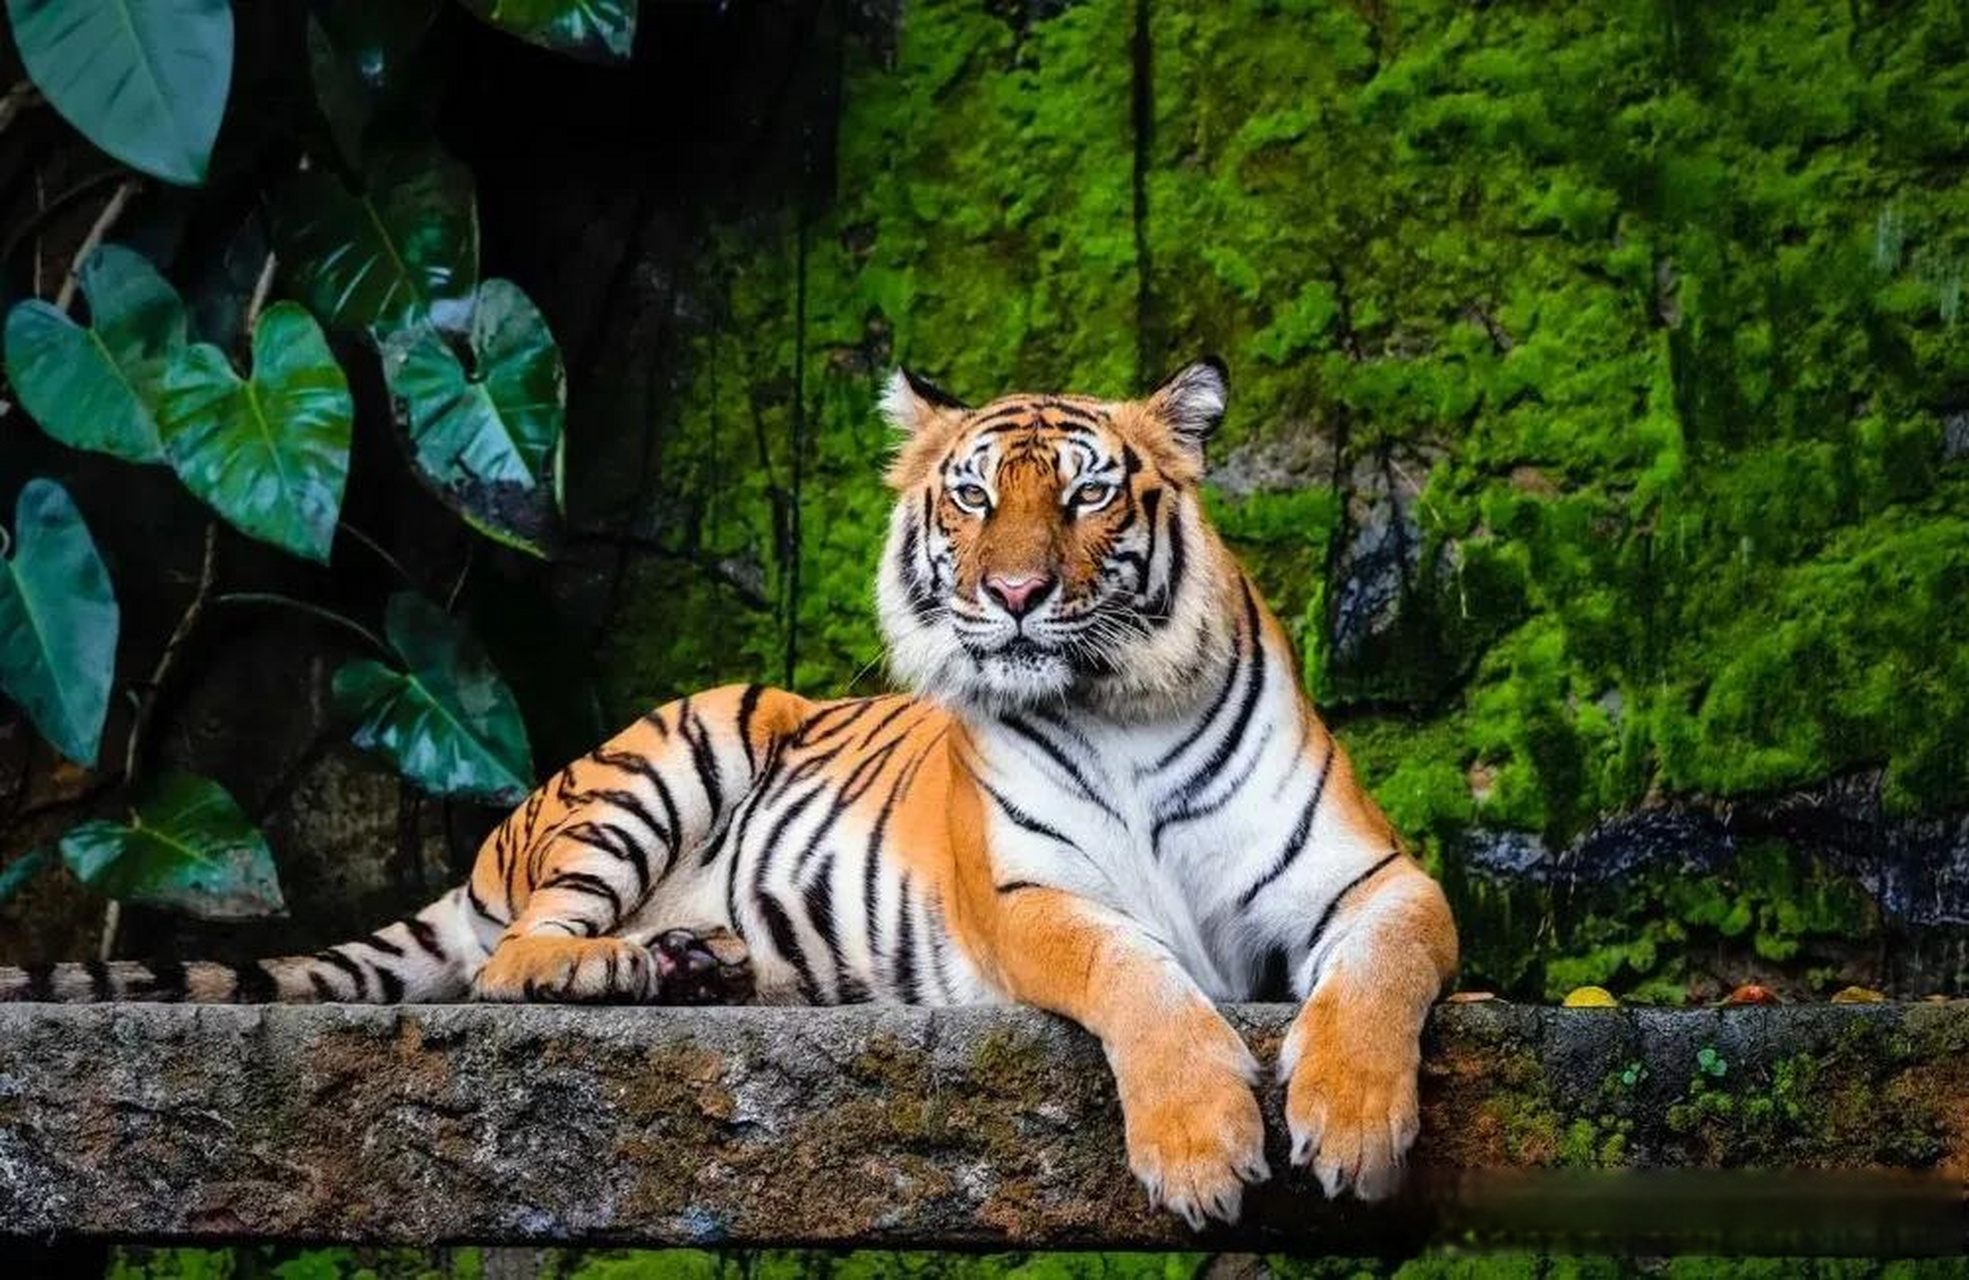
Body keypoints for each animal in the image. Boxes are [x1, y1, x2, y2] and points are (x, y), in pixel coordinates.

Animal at [1, 359, 1458, 1228]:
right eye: (971, 496)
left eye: (1093, 493)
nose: (1015, 593)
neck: (1116, 704)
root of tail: (495, 841)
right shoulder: (1028, 896)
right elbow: (1136, 973)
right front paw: (1205, 1147)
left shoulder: (1373, 877)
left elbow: (1383, 969)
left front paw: (1350, 1125)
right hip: (677, 746)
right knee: (513, 960)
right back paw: (635, 965)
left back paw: (707, 961)